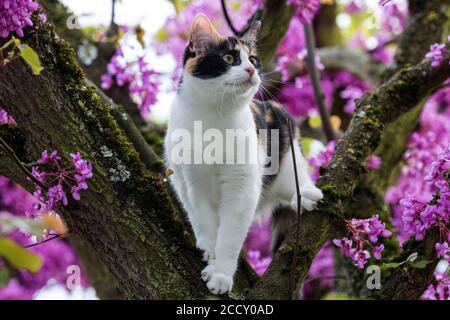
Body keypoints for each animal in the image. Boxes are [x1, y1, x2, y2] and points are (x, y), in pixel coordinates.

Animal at [165, 14, 324, 296]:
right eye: (229, 58)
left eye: (252, 59)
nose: (251, 70)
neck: (213, 115)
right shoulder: (192, 184)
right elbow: (205, 221)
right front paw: (210, 254)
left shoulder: (242, 187)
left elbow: (230, 237)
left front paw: (221, 274)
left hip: (284, 143)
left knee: (292, 182)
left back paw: (305, 194)